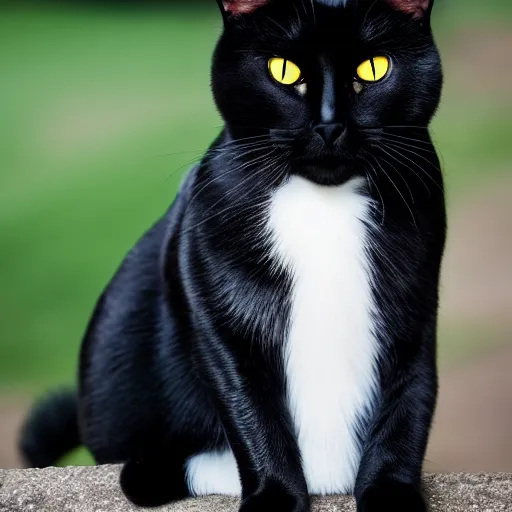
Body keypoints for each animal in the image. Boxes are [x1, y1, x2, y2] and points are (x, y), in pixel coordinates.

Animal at [20, 2, 444, 510]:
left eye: (374, 68)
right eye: (283, 70)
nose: (328, 125)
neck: (321, 207)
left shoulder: (417, 309)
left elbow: (407, 405)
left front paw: (391, 494)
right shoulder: (216, 314)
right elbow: (251, 412)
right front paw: (273, 497)